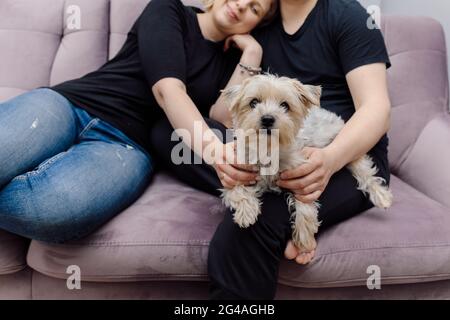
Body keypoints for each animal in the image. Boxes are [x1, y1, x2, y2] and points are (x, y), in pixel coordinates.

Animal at [220, 74, 392, 254]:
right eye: (253, 102)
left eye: (285, 105)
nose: (267, 119)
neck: (268, 149)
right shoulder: (236, 172)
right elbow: (237, 190)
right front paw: (246, 212)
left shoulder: (303, 177)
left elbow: (305, 206)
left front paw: (304, 236)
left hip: (348, 149)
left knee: (366, 173)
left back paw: (382, 196)